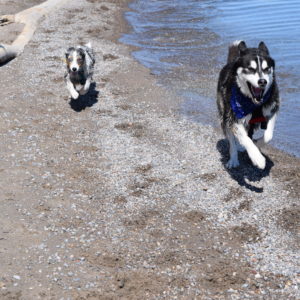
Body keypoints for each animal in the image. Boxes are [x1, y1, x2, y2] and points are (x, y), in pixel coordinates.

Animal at [218, 41, 278, 170]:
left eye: (266, 69)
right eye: (250, 69)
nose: (262, 81)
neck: (254, 104)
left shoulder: (271, 110)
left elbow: (268, 136)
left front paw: (258, 143)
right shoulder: (233, 117)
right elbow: (244, 138)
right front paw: (257, 158)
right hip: (224, 114)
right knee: (232, 141)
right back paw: (233, 159)